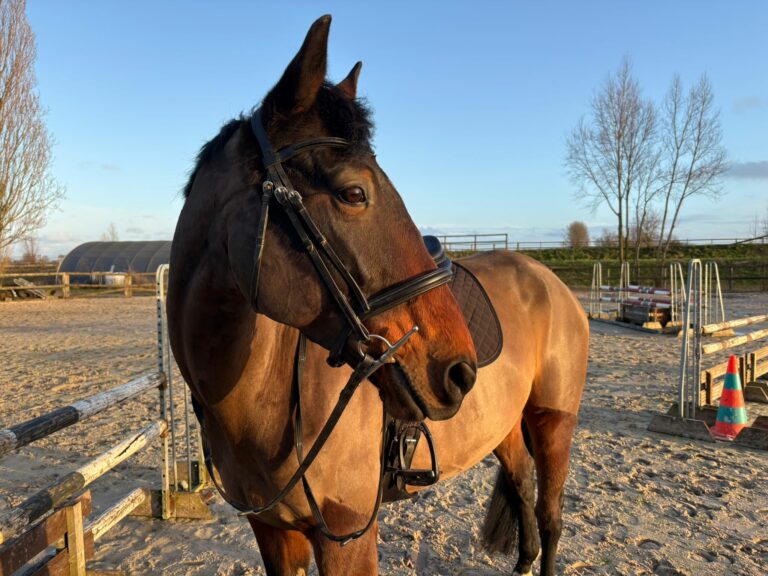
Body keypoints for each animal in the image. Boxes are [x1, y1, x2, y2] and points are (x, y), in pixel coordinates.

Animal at [167, 15, 588, 576]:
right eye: (353, 193)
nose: (460, 371)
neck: (262, 400)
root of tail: (548, 279)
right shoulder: (273, 532)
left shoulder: (348, 536)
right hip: (504, 428)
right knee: (521, 489)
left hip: (553, 421)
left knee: (549, 516)